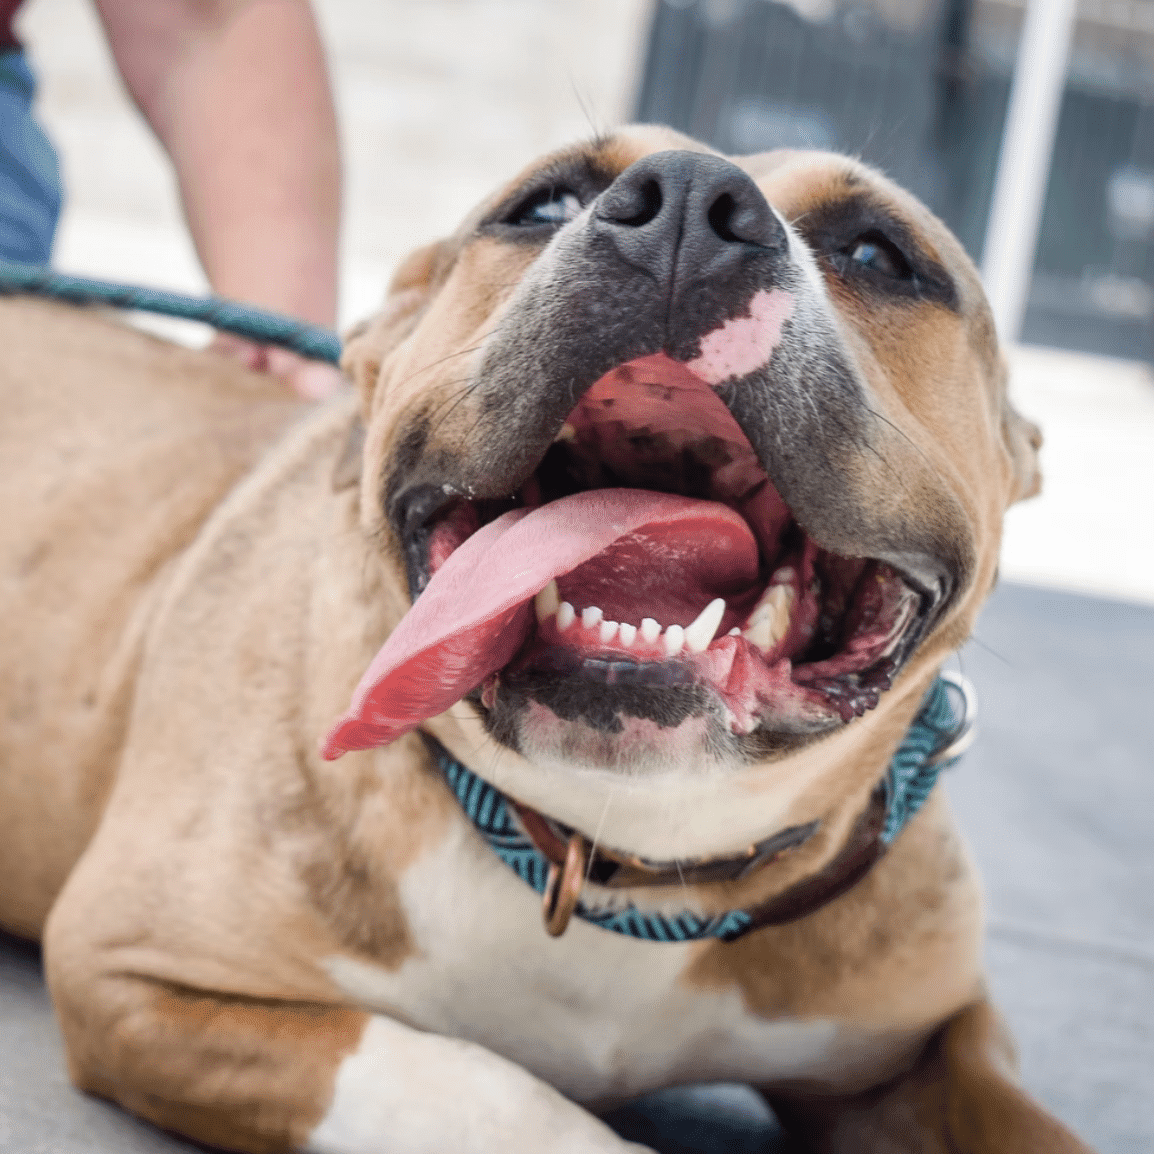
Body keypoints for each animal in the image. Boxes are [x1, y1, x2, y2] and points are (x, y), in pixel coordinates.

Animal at [0, 126, 1089, 1154]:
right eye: (544, 204)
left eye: (877, 252)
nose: (687, 199)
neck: (622, 845)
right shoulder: (133, 979)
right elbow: (481, 1087)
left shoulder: (930, 1044)